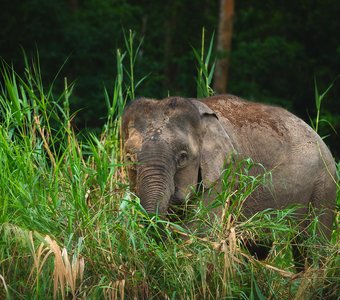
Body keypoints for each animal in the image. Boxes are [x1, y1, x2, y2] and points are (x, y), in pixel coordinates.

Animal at [122, 94, 338, 270]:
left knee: (312, 244)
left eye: (183, 157)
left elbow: (200, 232)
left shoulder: (223, 175)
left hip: (324, 186)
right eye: (130, 158)